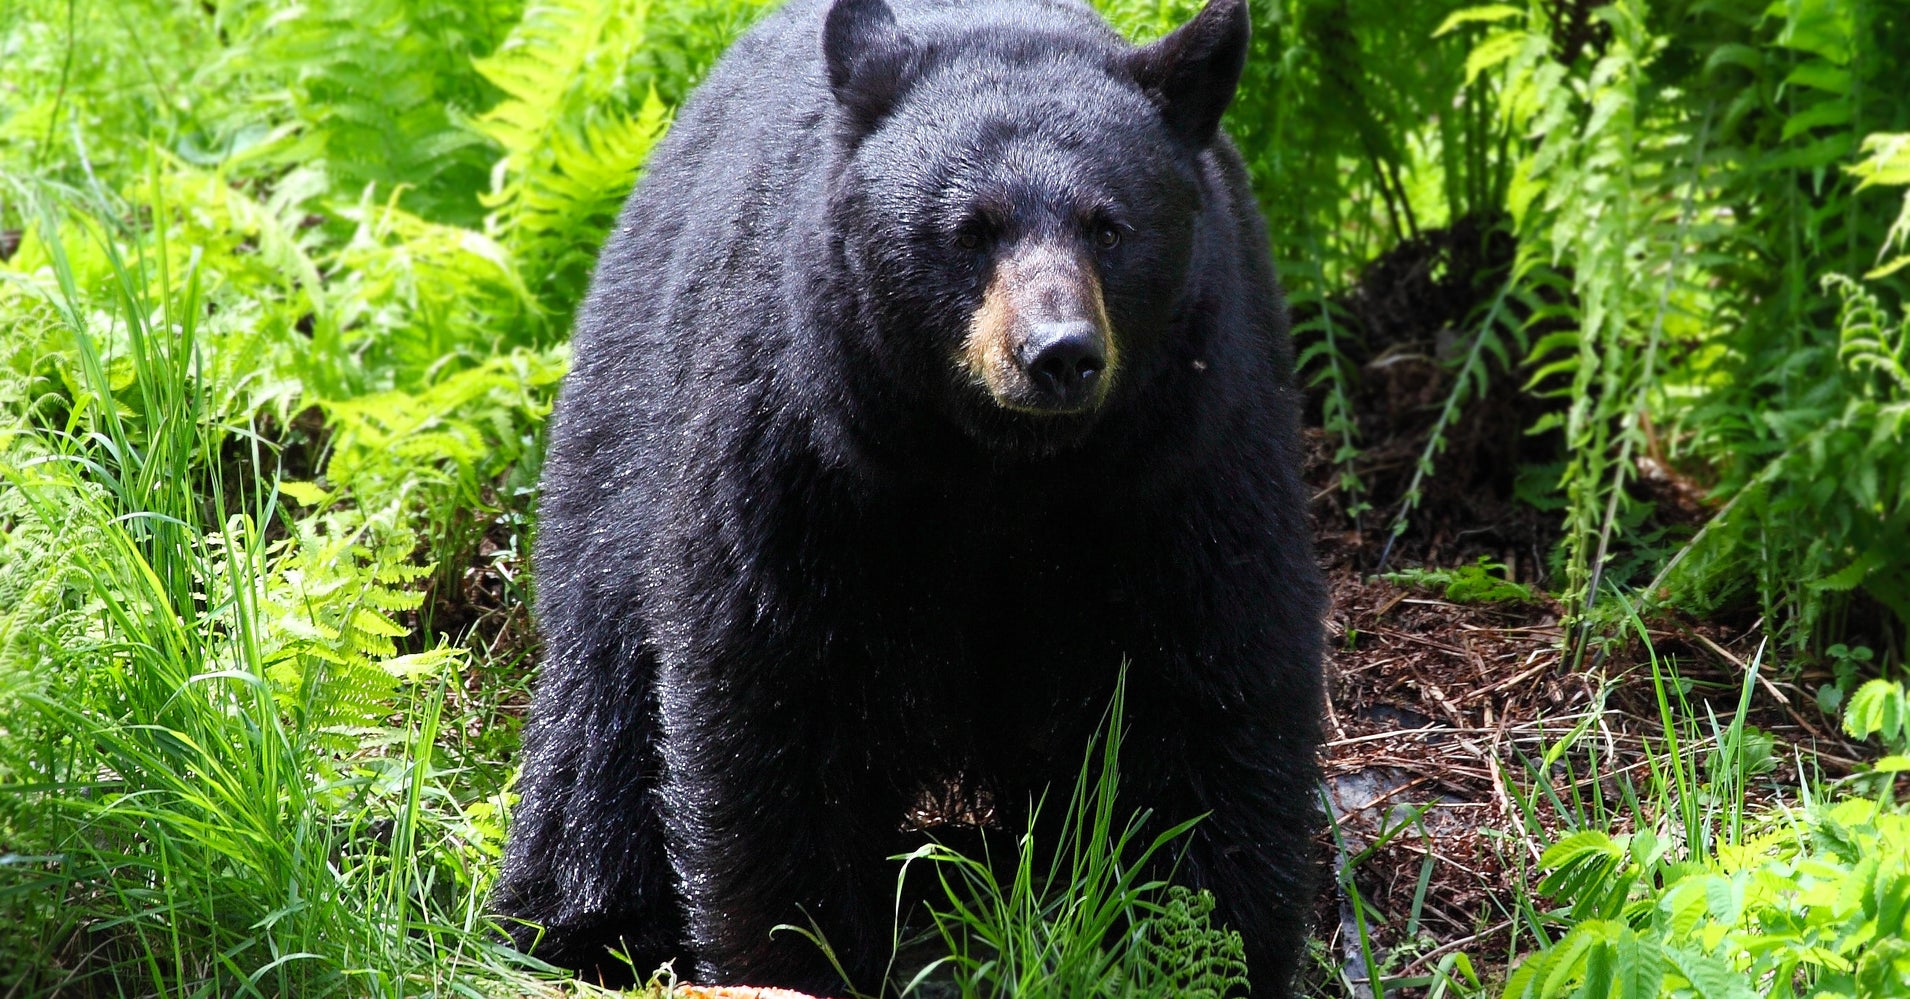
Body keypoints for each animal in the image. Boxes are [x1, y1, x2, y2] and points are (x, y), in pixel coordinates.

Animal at [500, 0, 1321, 993]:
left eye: (1109, 226)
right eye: (970, 228)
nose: (1059, 352)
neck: (1003, 468)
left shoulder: (1187, 456)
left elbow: (1206, 681)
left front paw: (1195, 946)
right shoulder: (801, 449)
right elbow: (775, 692)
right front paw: (797, 952)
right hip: (626, 423)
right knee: (604, 689)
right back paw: (587, 918)